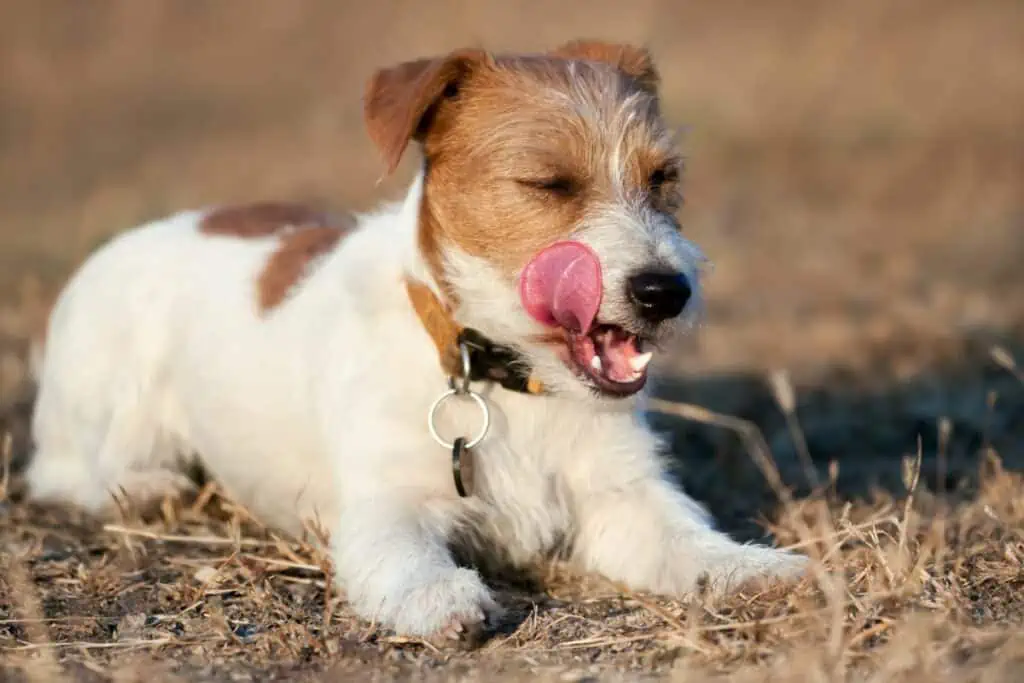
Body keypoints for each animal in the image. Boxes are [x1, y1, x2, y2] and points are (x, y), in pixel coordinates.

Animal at [22, 40, 806, 643]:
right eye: (549, 183)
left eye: (662, 177)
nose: (665, 290)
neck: (505, 378)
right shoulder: (385, 507)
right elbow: (407, 558)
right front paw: (441, 596)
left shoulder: (623, 497)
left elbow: (686, 538)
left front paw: (749, 566)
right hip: (107, 400)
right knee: (62, 470)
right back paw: (146, 489)